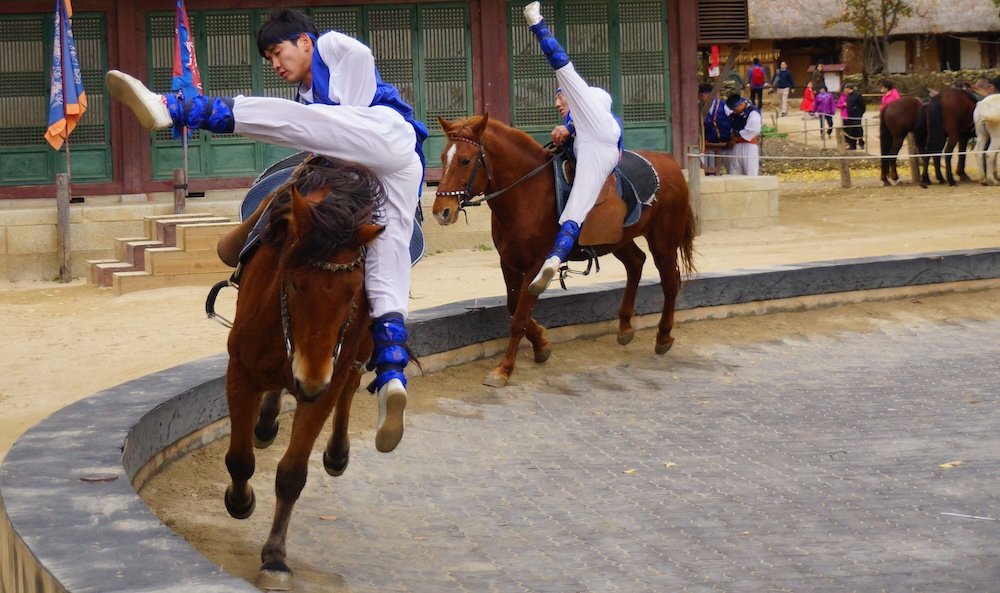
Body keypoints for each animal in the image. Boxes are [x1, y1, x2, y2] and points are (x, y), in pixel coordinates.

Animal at [224, 154, 386, 588]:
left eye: (354, 291)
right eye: (295, 284)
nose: (310, 380)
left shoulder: (327, 378)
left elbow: (293, 473)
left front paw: (276, 559)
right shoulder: (240, 369)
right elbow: (240, 459)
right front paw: (240, 500)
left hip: (358, 350)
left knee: (350, 386)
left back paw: (336, 453)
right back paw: (266, 423)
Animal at [430, 114, 696, 386]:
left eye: (465, 160)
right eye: (443, 158)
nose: (442, 211)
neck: (527, 193)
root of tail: (670, 163)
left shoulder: (536, 264)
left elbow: (519, 318)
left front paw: (504, 369)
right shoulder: (509, 261)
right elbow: (514, 307)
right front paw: (541, 343)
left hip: (663, 241)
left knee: (670, 281)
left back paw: (663, 336)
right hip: (616, 239)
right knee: (636, 263)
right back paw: (625, 328)